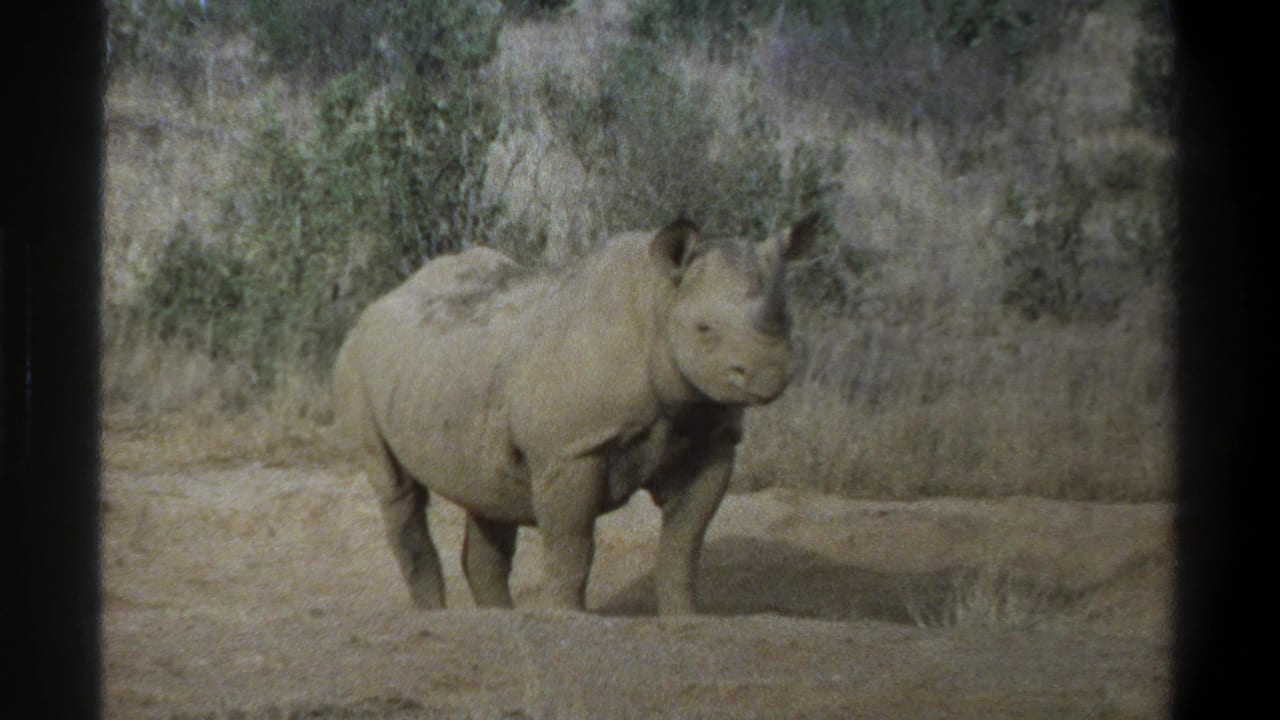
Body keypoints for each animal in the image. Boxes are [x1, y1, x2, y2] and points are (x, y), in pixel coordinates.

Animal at [333, 215, 819, 614]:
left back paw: (498, 619)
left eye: (788, 319)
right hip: (357, 360)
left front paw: (685, 619)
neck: (660, 301)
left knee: (487, 492)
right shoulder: (571, 450)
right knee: (398, 489)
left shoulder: (712, 438)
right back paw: (435, 615)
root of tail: (379, 302)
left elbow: (684, 543)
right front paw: (568, 617)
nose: (769, 373)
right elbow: (573, 546)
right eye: (704, 329)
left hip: (449, 368)